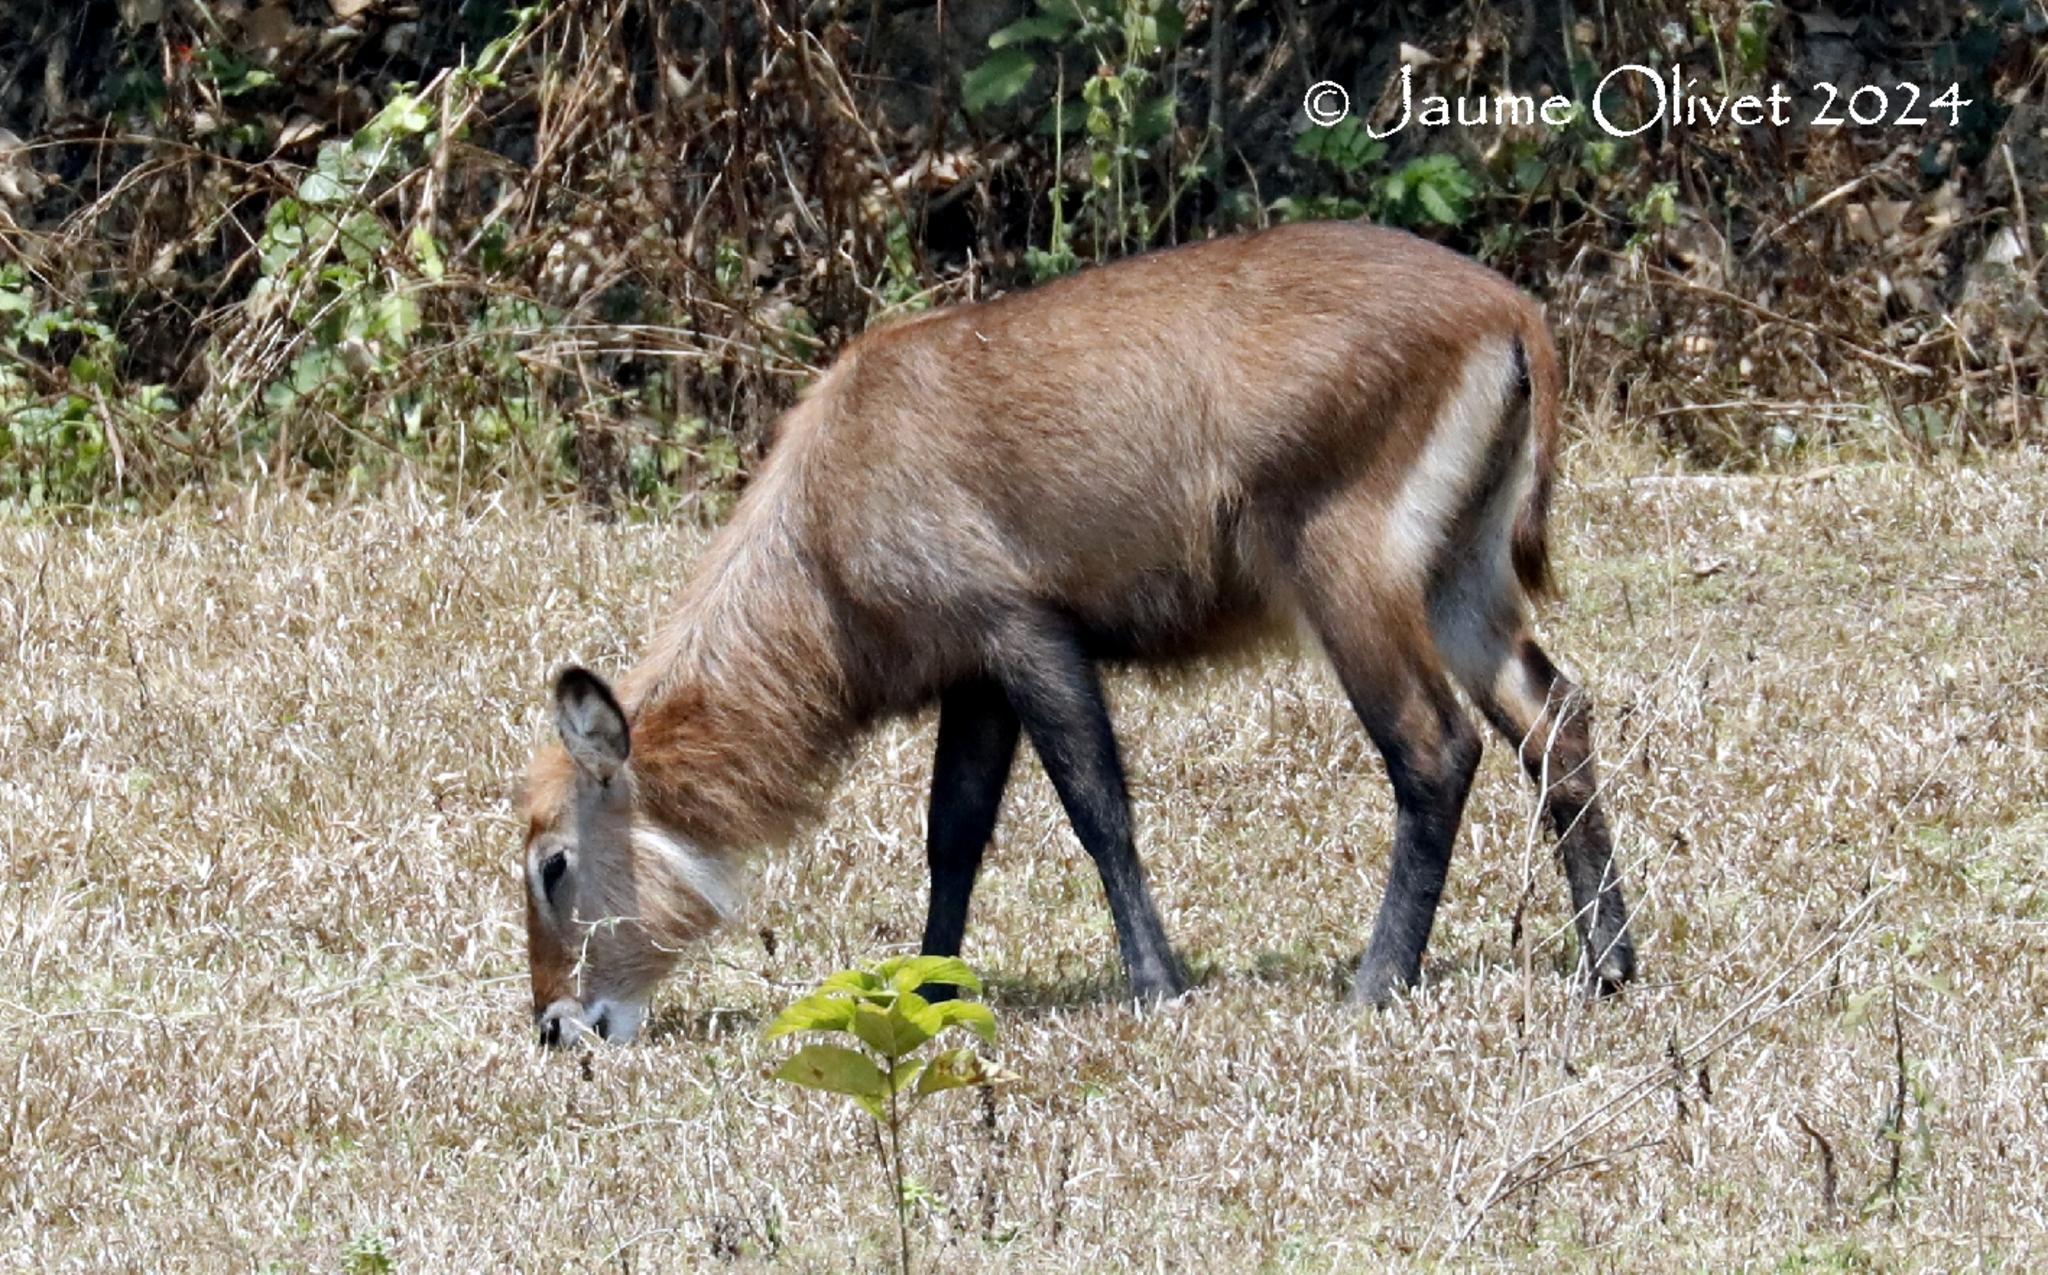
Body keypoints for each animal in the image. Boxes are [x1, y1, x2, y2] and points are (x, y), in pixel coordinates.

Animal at [520, 218, 1638, 1047]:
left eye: (551, 866)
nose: (557, 1026)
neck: (823, 513)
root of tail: (1508, 313)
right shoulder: (972, 673)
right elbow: (953, 833)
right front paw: (931, 987)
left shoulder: (1024, 633)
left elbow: (1096, 807)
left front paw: (1157, 983)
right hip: (1460, 579)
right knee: (1556, 720)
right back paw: (1608, 967)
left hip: (1348, 574)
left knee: (1435, 747)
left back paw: (1376, 982)